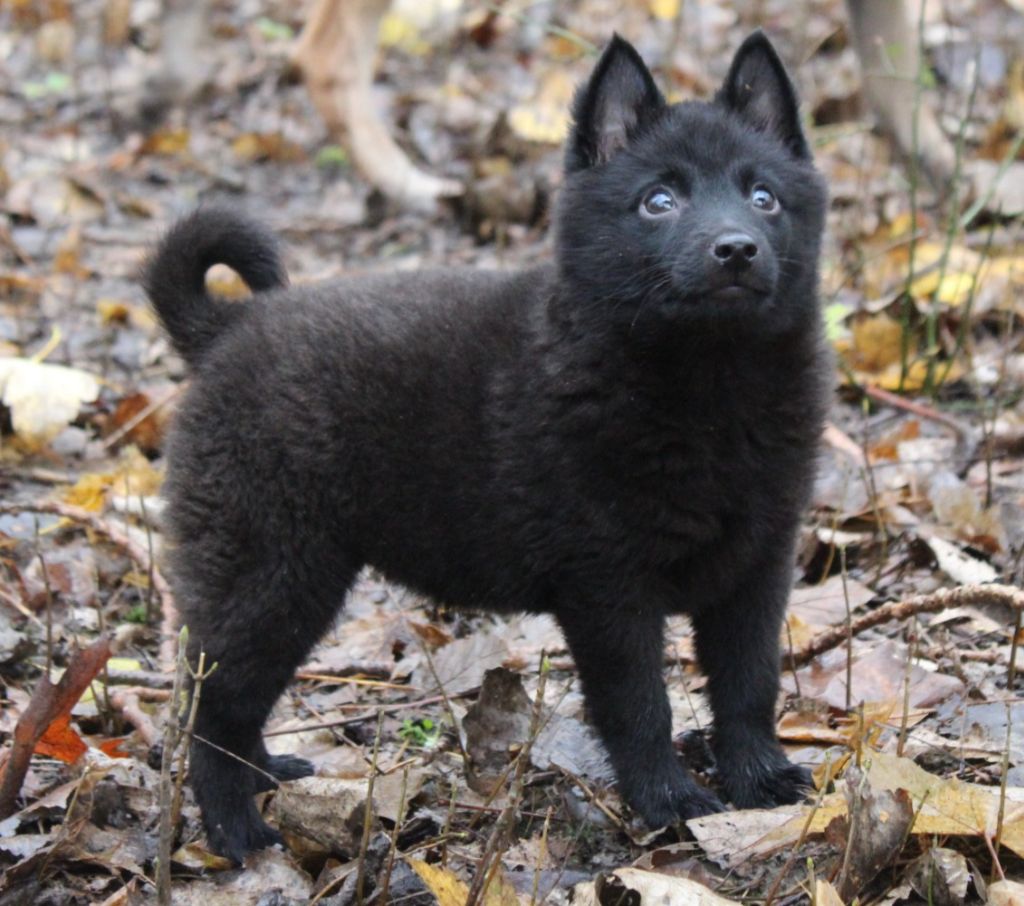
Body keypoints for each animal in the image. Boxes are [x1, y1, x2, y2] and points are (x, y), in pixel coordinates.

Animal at [146, 30, 831, 864]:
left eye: (764, 197)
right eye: (658, 201)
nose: (736, 249)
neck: (708, 386)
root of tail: (227, 330)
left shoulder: (758, 562)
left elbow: (748, 684)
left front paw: (760, 779)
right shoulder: (607, 584)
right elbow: (641, 704)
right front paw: (667, 801)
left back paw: (267, 775)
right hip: (270, 564)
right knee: (214, 700)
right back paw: (236, 830)